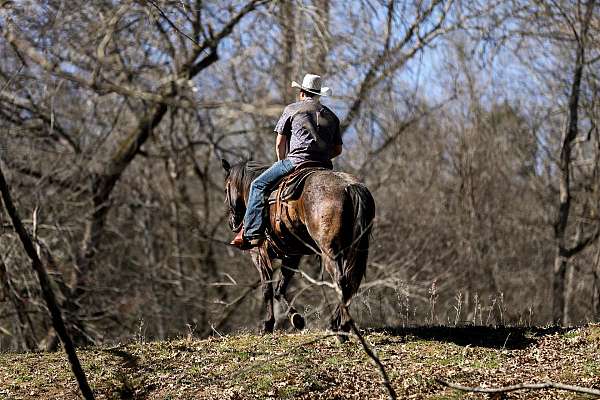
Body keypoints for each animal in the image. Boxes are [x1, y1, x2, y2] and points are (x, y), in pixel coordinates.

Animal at [221, 159, 376, 334]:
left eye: (226, 189)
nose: (232, 222)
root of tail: (349, 186)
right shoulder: (292, 255)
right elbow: (280, 289)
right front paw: (297, 319)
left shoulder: (259, 254)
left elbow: (267, 289)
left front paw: (268, 325)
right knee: (350, 282)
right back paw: (342, 324)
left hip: (329, 250)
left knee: (341, 281)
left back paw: (335, 325)